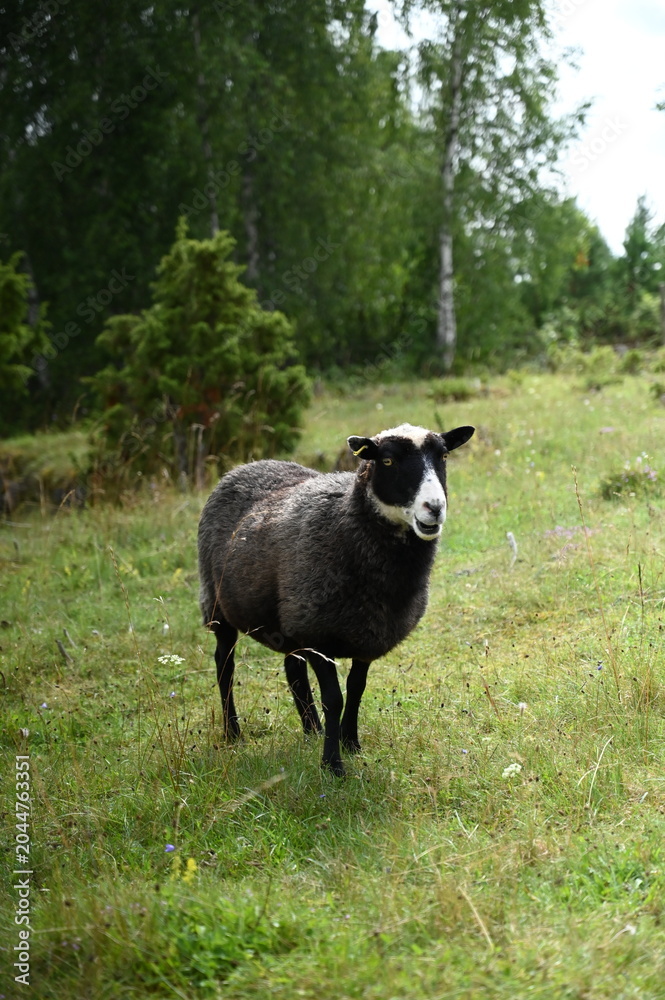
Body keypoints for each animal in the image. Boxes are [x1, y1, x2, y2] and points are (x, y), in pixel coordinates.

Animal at [198, 421, 475, 775]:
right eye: (387, 461)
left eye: (443, 456)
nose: (435, 508)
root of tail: (246, 466)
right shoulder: (318, 633)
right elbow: (334, 699)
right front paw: (333, 765)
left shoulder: (368, 632)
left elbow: (356, 690)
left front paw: (351, 743)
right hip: (218, 605)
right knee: (225, 664)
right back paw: (233, 733)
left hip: (290, 616)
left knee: (293, 668)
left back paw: (312, 729)